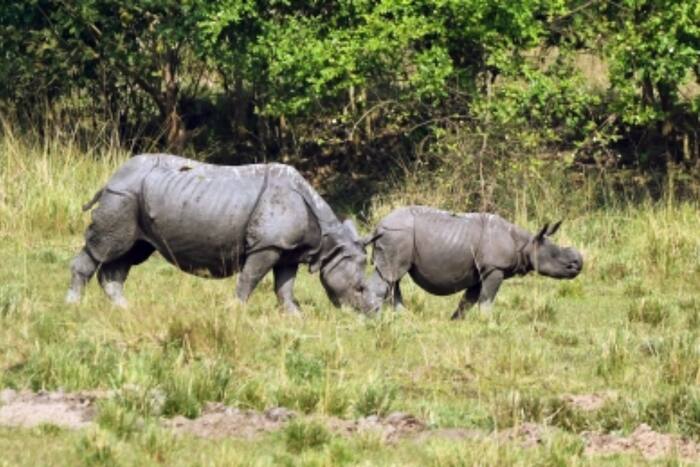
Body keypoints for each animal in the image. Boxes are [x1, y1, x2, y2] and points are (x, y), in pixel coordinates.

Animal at [65, 154, 380, 314]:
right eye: (360, 288)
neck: (329, 240)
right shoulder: (267, 245)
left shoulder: (287, 249)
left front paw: (294, 316)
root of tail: (113, 175)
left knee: (129, 253)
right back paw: (73, 305)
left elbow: (285, 285)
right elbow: (250, 278)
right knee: (106, 247)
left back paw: (125, 309)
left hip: (134, 197)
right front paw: (235, 310)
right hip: (122, 196)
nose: (374, 313)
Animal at [364, 207, 584, 320]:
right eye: (556, 257)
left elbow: (467, 301)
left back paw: (405, 317)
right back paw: (374, 316)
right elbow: (486, 299)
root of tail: (378, 225)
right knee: (390, 275)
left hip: (397, 235)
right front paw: (488, 323)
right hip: (397, 235)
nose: (578, 264)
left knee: (392, 279)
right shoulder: (495, 268)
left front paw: (455, 322)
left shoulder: (480, 272)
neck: (527, 243)